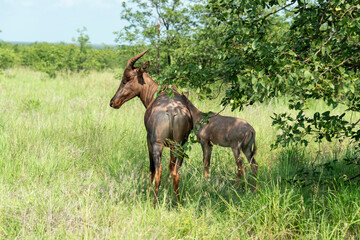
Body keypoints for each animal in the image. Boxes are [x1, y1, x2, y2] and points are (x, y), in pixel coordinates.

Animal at [109, 49, 193, 205]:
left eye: (126, 78)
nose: (113, 102)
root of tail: (171, 110)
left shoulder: (148, 140)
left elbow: (151, 168)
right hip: (179, 145)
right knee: (175, 172)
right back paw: (178, 203)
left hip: (157, 144)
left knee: (158, 170)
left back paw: (153, 203)